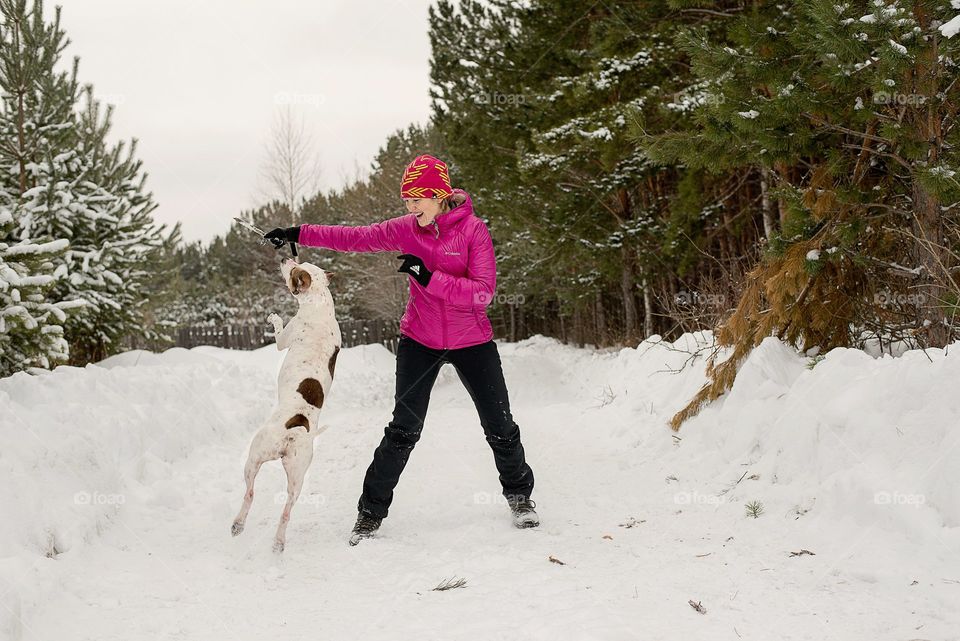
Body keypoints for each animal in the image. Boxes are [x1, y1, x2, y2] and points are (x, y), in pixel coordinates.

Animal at [230, 258, 342, 552]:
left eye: (294, 269)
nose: (285, 259)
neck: (319, 302)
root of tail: (295, 430)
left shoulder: (284, 339)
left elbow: (279, 330)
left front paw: (274, 317)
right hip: (297, 477)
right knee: (287, 511)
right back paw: (278, 542)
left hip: (254, 456)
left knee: (250, 492)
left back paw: (238, 524)